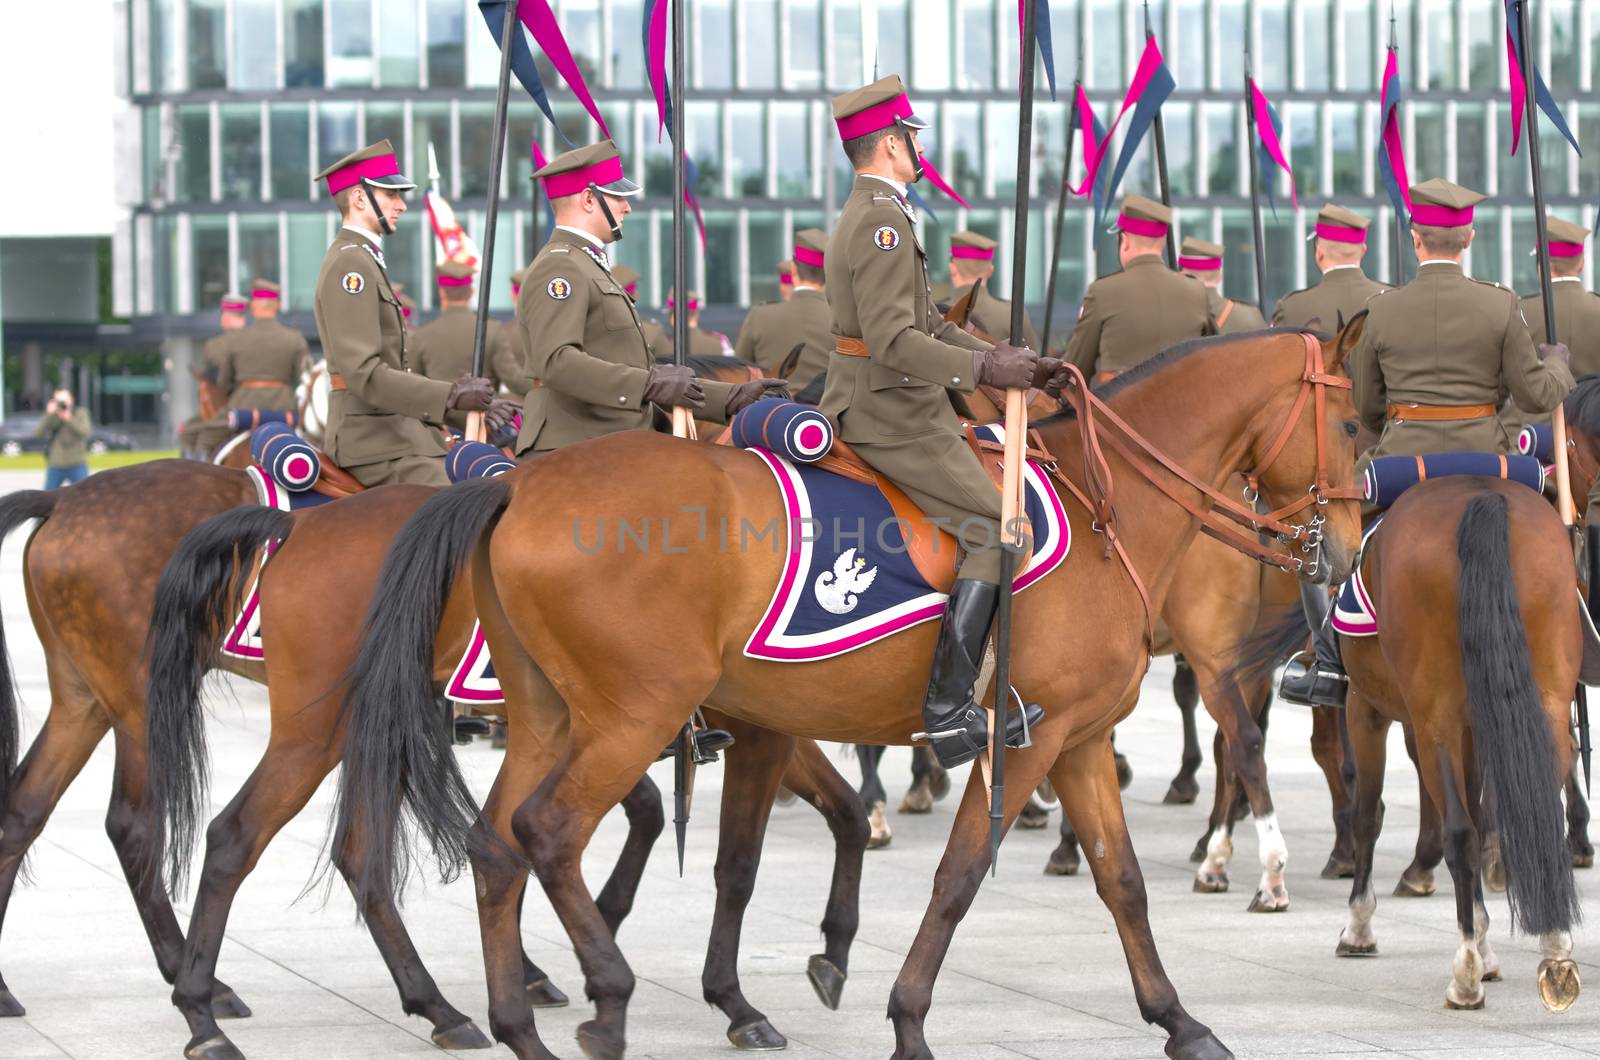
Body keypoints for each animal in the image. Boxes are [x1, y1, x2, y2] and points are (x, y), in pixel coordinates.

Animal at [144, 483, 870, 1060]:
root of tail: (301, 526)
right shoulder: (742, 730)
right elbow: (727, 856)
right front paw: (730, 995)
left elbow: (844, 814)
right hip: (316, 732)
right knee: (236, 836)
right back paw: (205, 1016)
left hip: (368, 727)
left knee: (356, 855)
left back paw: (438, 1009)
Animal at [331, 328, 1369, 1056]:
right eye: (1358, 422)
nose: (1349, 551)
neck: (1103, 509)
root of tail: (519, 487)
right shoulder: (1023, 738)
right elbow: (958, 876)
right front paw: (906, 1019)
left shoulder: (1073, 741)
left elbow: (1121, 884)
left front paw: (1178, 1021)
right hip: (630, 719)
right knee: (544, 834)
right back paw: (604, 996)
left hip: (552, 718)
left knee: (495, 847)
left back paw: (515, 1021)